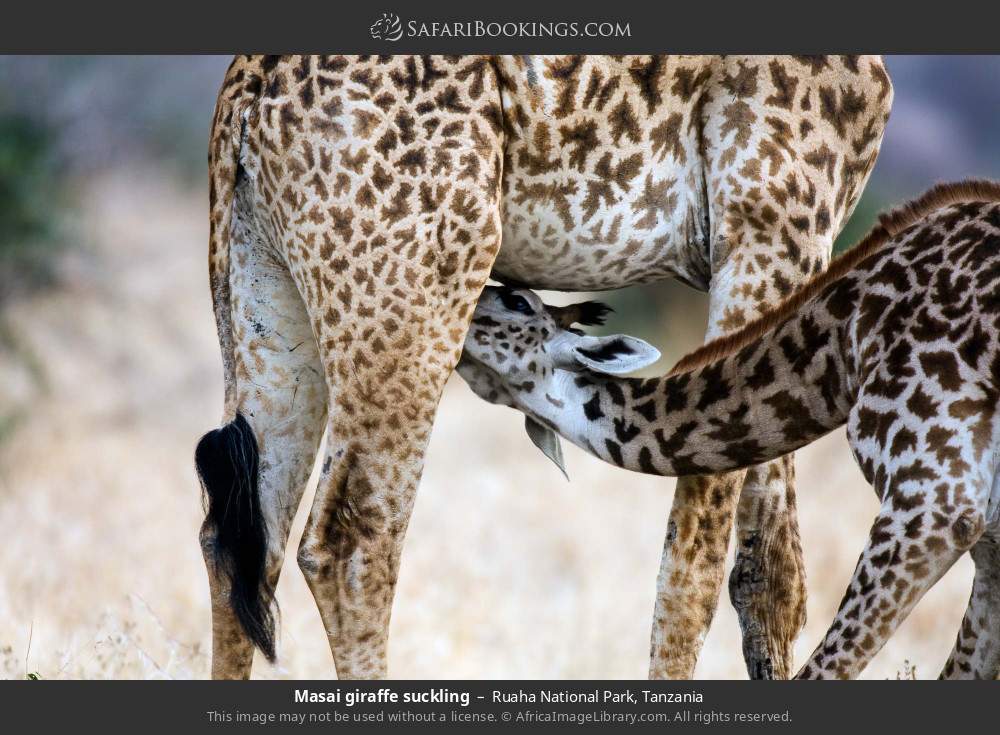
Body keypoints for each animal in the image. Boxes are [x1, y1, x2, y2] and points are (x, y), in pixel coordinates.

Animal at [196, 55, 892, 679]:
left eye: (516, 298)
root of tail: (253, 79)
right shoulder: (773, 222)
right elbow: (696, 561)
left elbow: (771, 574)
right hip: (411, 295)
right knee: (352, 544)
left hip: (263, 285)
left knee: (241, 536)